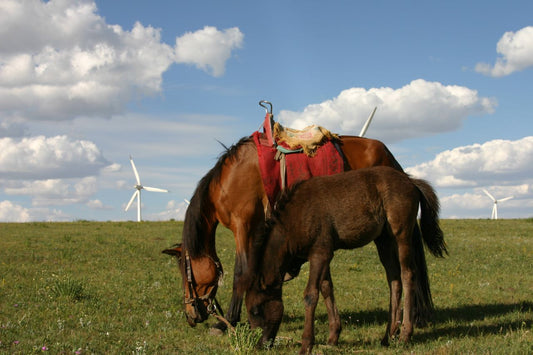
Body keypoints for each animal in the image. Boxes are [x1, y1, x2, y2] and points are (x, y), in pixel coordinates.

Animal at [163, 134, 436, 334]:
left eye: (185, 274)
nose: (191, 315)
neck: (229, 179)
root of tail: (392, 159)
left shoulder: (244, 226)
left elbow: (241, 274)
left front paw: (226, 322)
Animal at [240, 168, 444, 355]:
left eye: (256, 310)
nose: (259, 344)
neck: (294, 221)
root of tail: (411, 181)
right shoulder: (321, 254)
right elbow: (326, 287)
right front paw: (332, 337)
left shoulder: (320, 252)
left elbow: (311, 294)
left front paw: (306, 344)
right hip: (384, 239)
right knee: (394, 279)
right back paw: (388, 335)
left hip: (401, 233)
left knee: (408, 274)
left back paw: (405, 335)